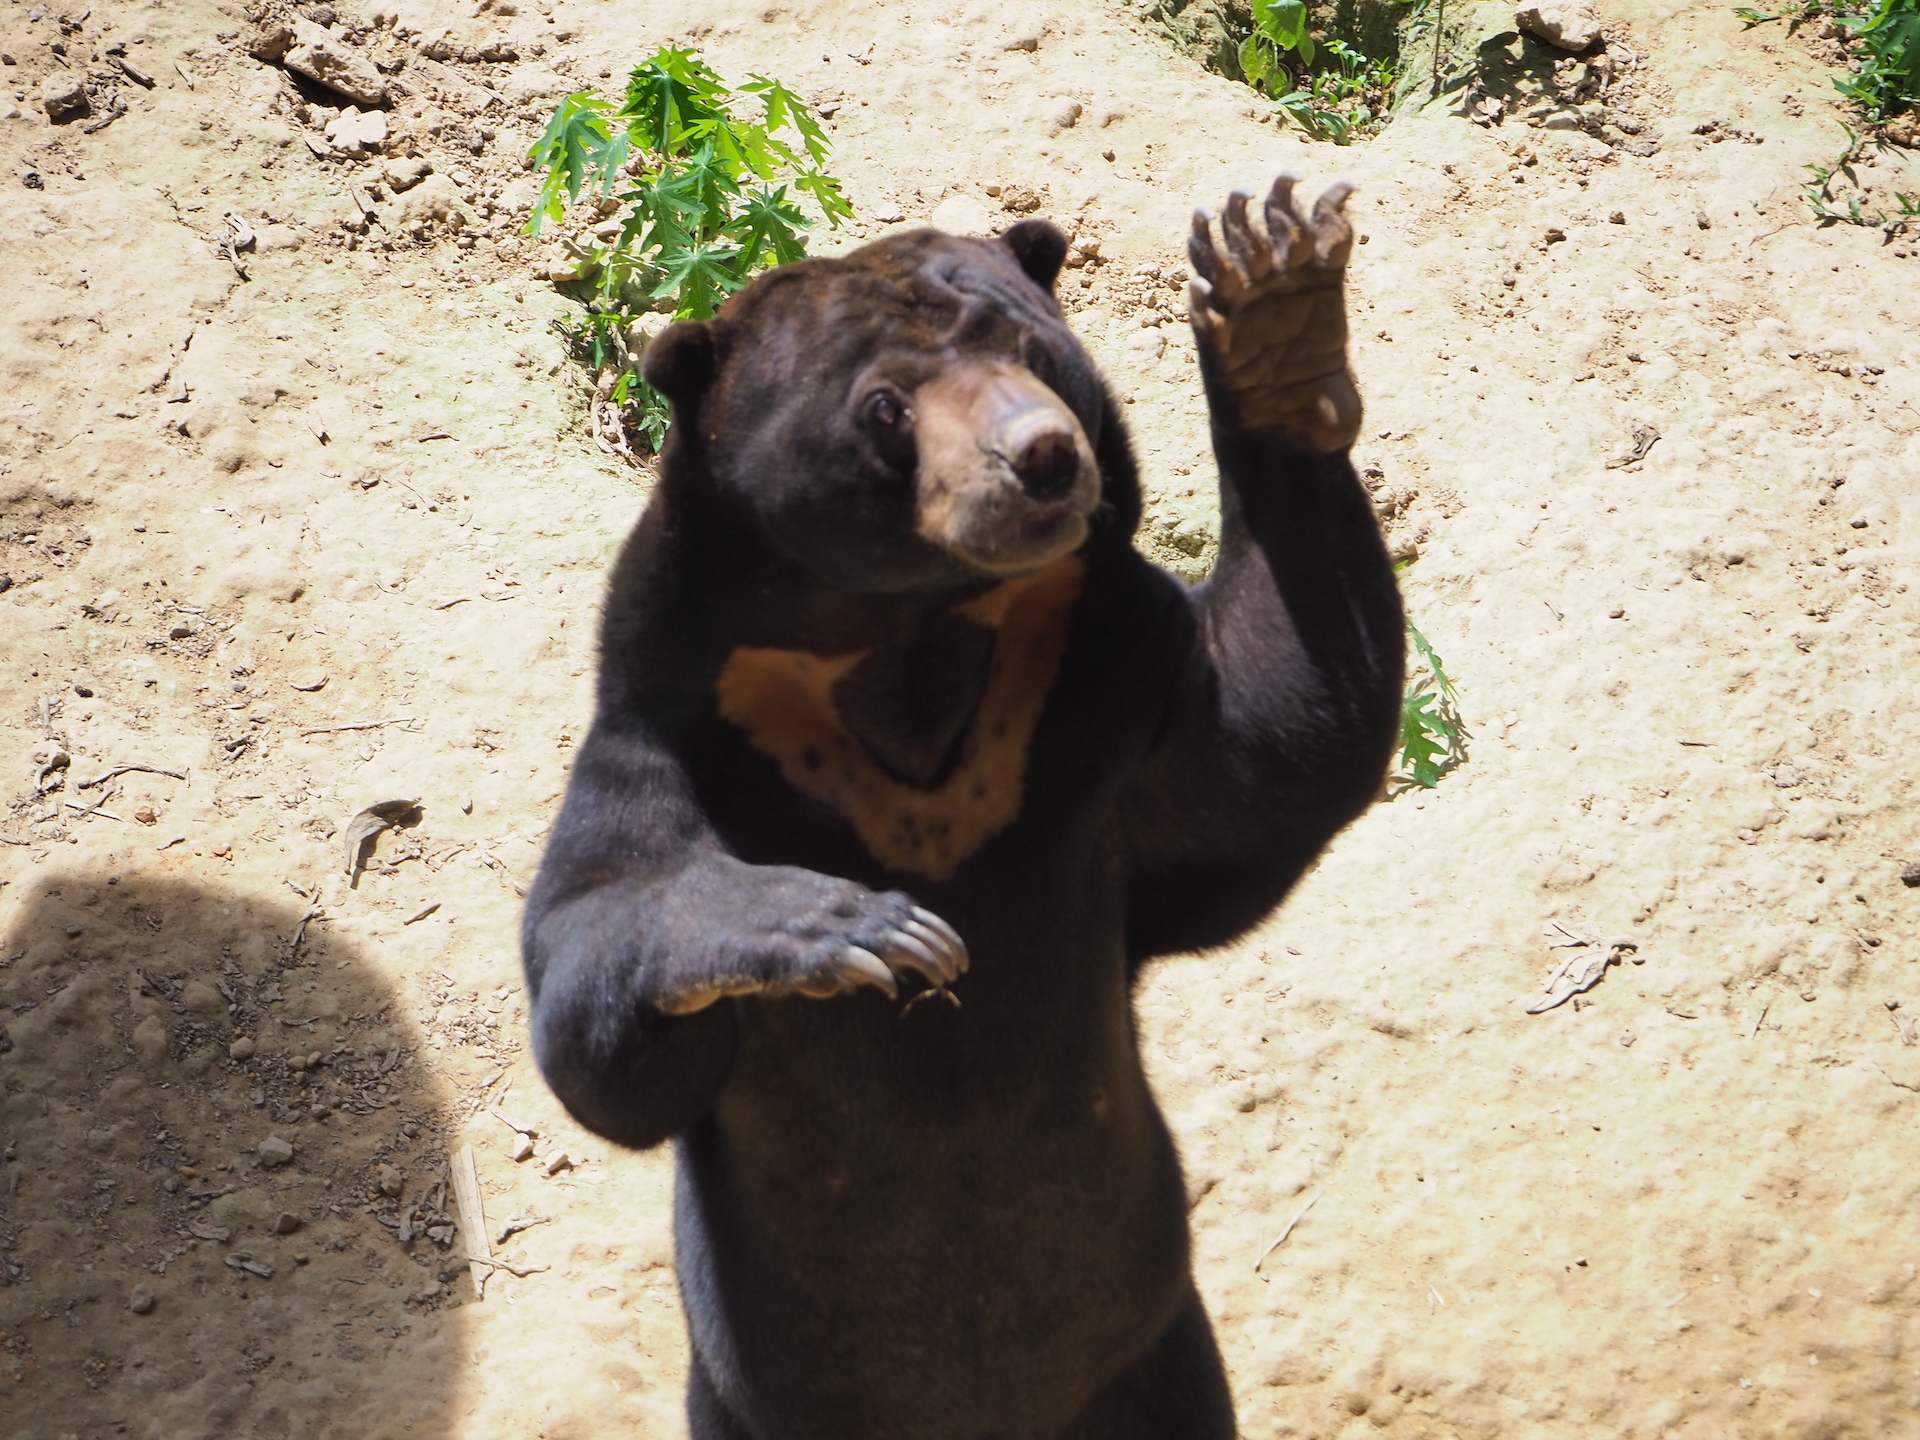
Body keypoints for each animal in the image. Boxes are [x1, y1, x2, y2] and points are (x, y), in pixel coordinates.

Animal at [518, 174, 1405, 1436]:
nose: (1042, 456)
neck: (912, 636)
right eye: (886, 408)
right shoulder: (666, 729)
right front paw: (863, 930)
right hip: (744, 1401)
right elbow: (599, 1009)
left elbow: (1267, 751)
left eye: (1031, 349)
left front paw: (1271, 301)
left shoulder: (1098, 694)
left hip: (1154, 1360)